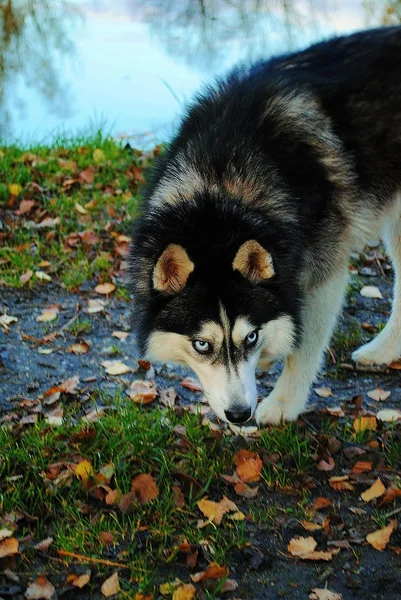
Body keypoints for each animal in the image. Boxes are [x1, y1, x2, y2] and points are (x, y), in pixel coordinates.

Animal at [127, 28, 400, 426]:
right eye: (201, 344)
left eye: (250, 337)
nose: (240, 414)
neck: (221, 189)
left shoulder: (323, 276)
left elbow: (303, 345)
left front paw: (283, 403)